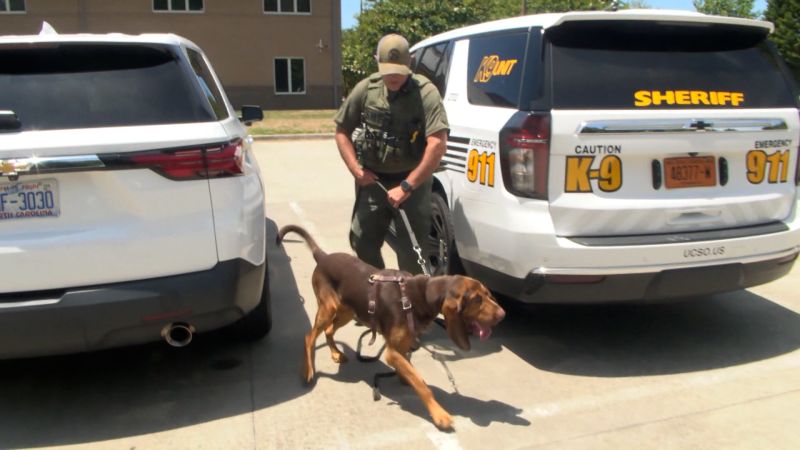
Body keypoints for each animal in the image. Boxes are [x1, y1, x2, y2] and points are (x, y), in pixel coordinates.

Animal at [282, 223, 504, 430]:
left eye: (487, 294)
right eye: (476, 299)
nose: (503, 315)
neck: (421, 295)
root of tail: (323, 257)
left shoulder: (404, 345)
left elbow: (411, 369)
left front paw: (404, 377)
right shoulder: (392, 352)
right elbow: (422, 384)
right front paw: (439, 415)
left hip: (347, 311)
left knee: (328, 330)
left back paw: (336, 353)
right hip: (329, 308)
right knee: (309, 336)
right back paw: (308, 370)